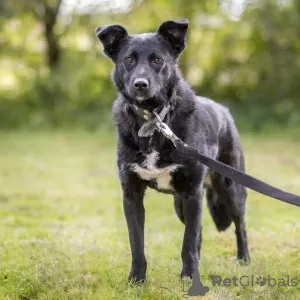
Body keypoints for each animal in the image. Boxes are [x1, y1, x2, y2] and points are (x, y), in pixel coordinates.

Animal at [95, 19, 248, 284]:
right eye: (128, 60)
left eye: (158, 60)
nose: (140, 85)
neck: (154, 120)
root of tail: (224, 111)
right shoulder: (132, 195)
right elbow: (137, 242)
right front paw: (136, 279)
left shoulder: (192, 193)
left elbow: (188, 242)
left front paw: (189, 276)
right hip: (181, 204)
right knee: (199, 232)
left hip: (230, 188)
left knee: (240, 225)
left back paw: (243, 259)